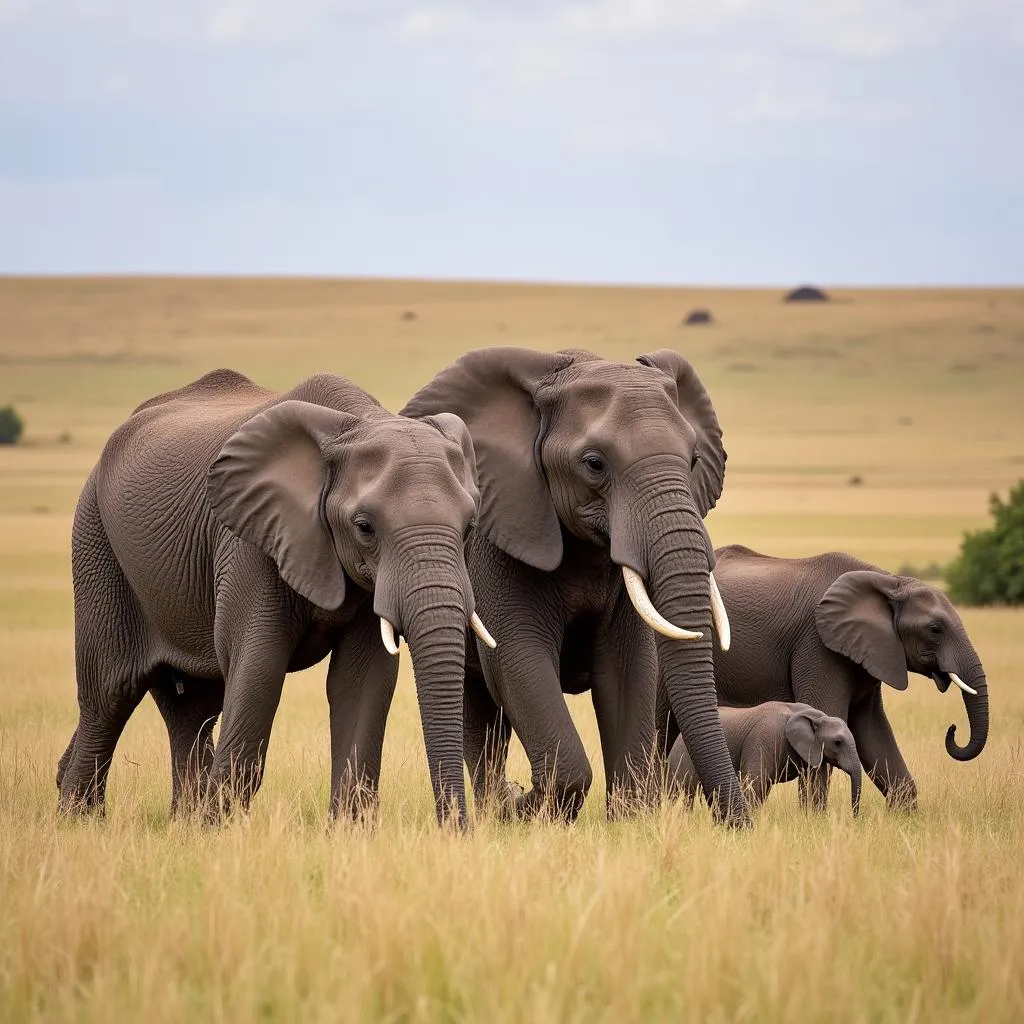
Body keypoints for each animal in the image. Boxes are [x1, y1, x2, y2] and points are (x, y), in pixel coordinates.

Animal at [55, 368, 487, 823]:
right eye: (364, 527)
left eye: (469, 527)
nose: (457, 829)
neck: (356, 424)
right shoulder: (249, 540)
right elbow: (259, 667)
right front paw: (222, 829)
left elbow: (364, 677)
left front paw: (348, 832)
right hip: (96, 540)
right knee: (110, 693)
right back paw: (80, 821)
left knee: (192, 707)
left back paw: (182, 825)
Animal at [403, 348, 749, 827]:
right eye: (594, 464)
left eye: (695, 458)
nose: (738, 823)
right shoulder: (504, 533)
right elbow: (517, 655)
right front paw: (522, 806)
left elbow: (629, 667)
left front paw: (629, 821)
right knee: (476, 709)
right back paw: (496, 807)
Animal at [667, 704, 860, 815]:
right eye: (837, 742)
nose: (855, 816)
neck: (815, 715)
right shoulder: (764, 737)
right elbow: (754, 783)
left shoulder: (814, 751)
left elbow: (816, 783)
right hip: (682, 756)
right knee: (685, 792)